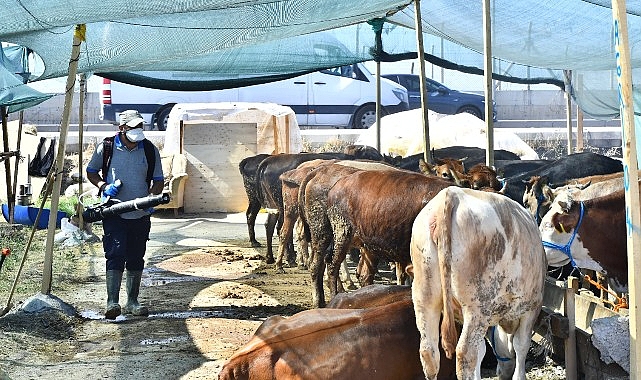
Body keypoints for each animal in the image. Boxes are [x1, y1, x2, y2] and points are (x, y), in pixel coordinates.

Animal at [410, 188, 544, 380]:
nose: (502, 372)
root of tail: (451, 194)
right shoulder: (532, 307)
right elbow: (521, 345)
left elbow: (482, 350)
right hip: (477, 306)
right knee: (465, 353)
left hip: (425, 298)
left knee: (429, 352)